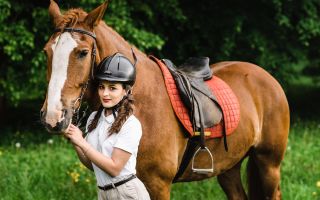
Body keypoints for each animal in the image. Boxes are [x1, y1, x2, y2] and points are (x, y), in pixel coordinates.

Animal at [40, 0, 290, 199]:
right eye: (46, 52)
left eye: (82, 52)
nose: (53, 116)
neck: (141, 105)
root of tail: (266, 77)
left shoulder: (158, 185)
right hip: (229, 168)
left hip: (269, 164)